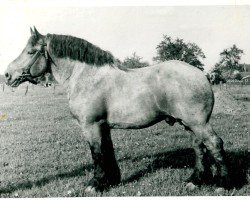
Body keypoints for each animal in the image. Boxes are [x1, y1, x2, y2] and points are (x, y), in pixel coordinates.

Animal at [4, 26, 230, 192]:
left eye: (31, 52)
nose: (7, 75)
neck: (87, 77)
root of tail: (201, 74)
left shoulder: (91, 126)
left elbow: (97, 154)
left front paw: (95, 184)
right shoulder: (103, 126)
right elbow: (107, 151)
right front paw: (111, 180)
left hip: (197, 123)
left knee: (214, 144)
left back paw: (224, 184)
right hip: (189, 124)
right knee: (199, 147)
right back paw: (195, 181)